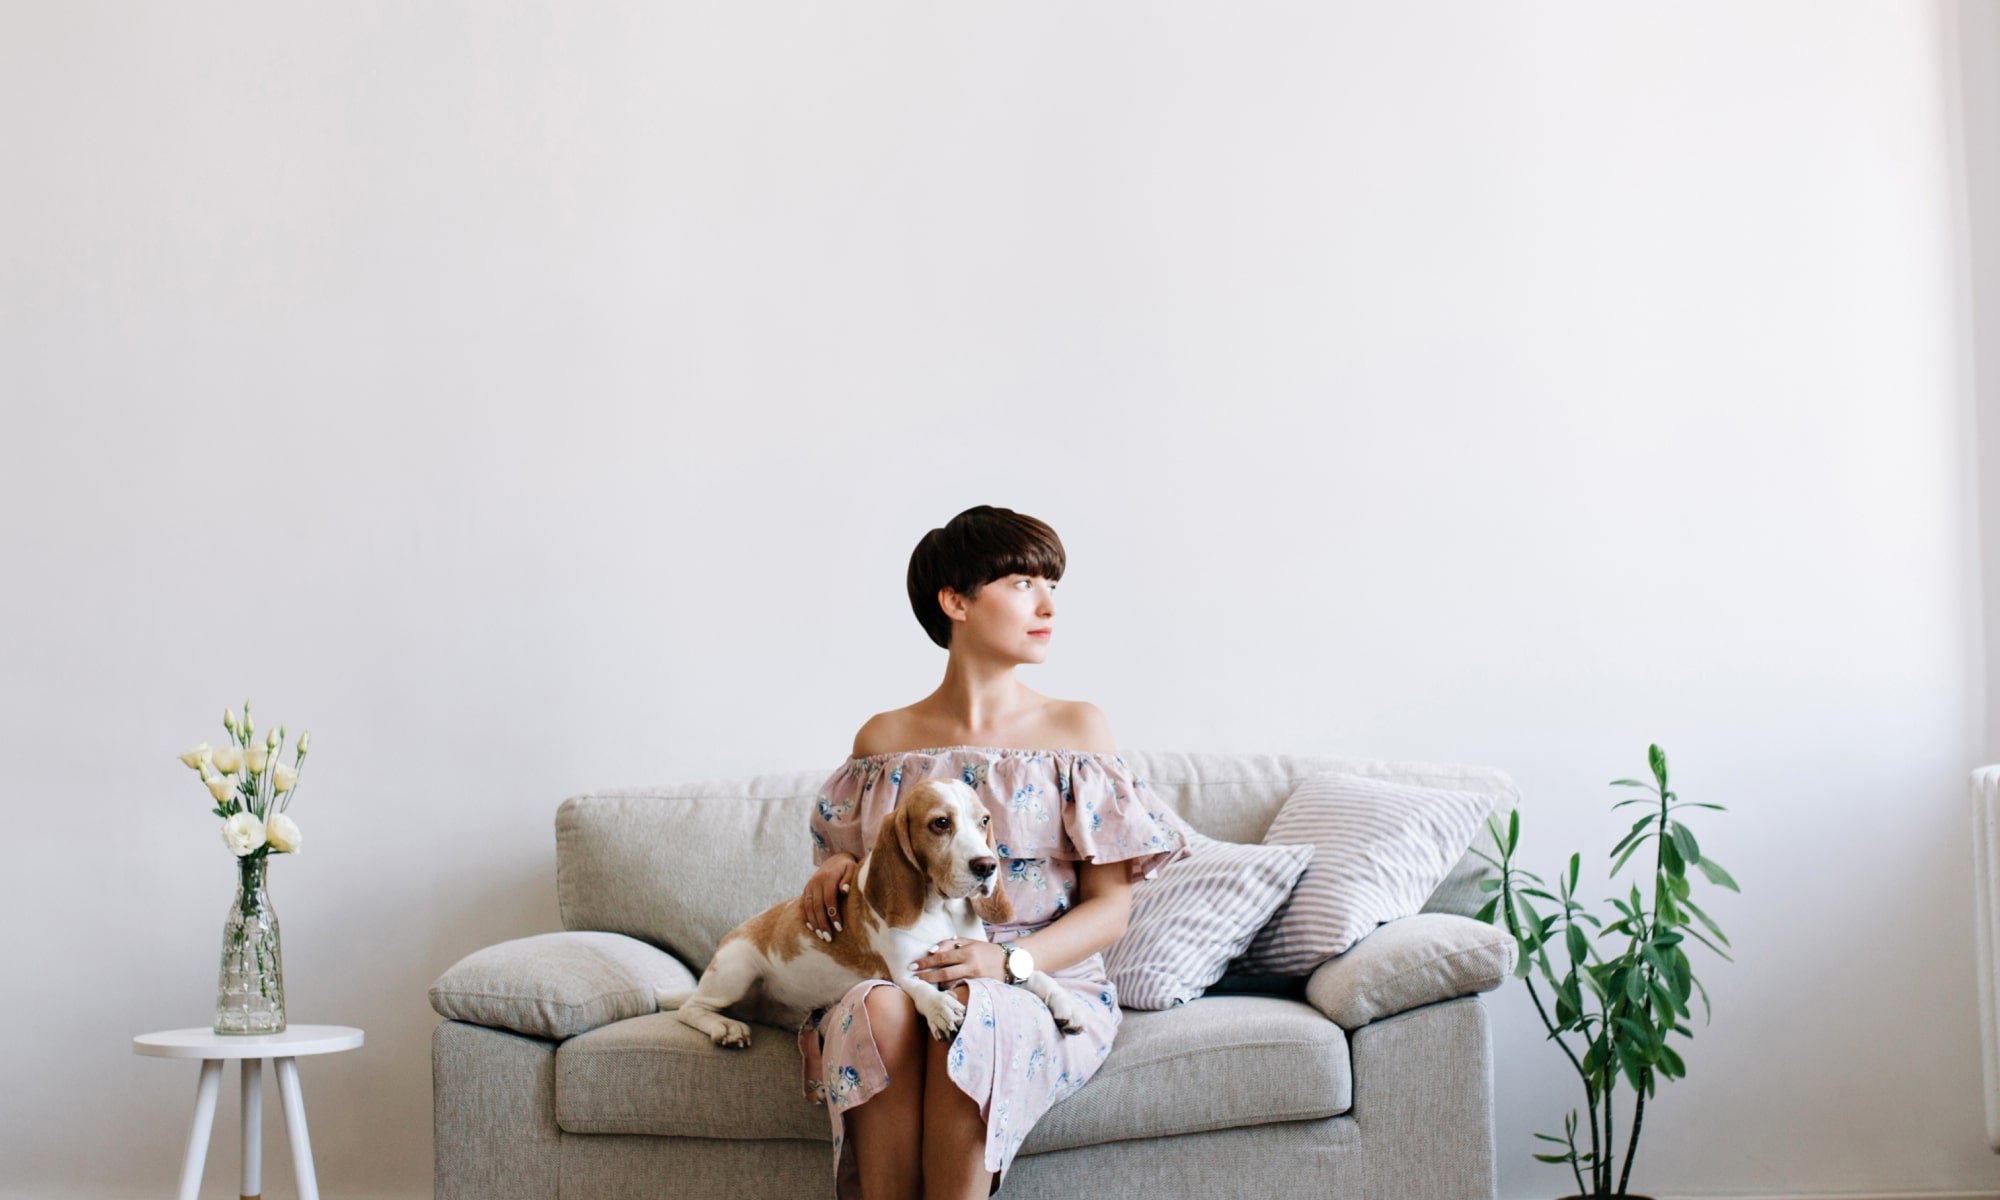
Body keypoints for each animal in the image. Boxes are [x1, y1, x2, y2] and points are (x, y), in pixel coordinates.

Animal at [657, 778, 1085, 1047]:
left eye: (983, 821)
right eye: (940, 823)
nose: (986, 866)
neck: (941, 909)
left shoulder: (978, 959)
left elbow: (1036, 976)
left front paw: (1065, 1003)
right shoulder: (907, 970)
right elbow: (919, 988)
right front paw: (940, 1007)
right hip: (735, 970)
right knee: (690, 1011)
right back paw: (724, 1027)